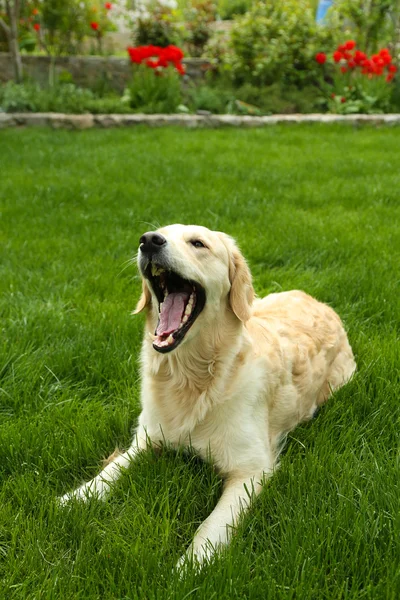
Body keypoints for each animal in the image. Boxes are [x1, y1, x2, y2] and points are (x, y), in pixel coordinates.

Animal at [60, 224, 356, 568]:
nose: (148, 241)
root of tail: (321, 303)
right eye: (157, 233)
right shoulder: (148, 437)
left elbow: (212, 525)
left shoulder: (251, 470)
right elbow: (113, 469)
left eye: (198, 243)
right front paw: (74, 497)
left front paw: (189, 567)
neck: (191, 378)